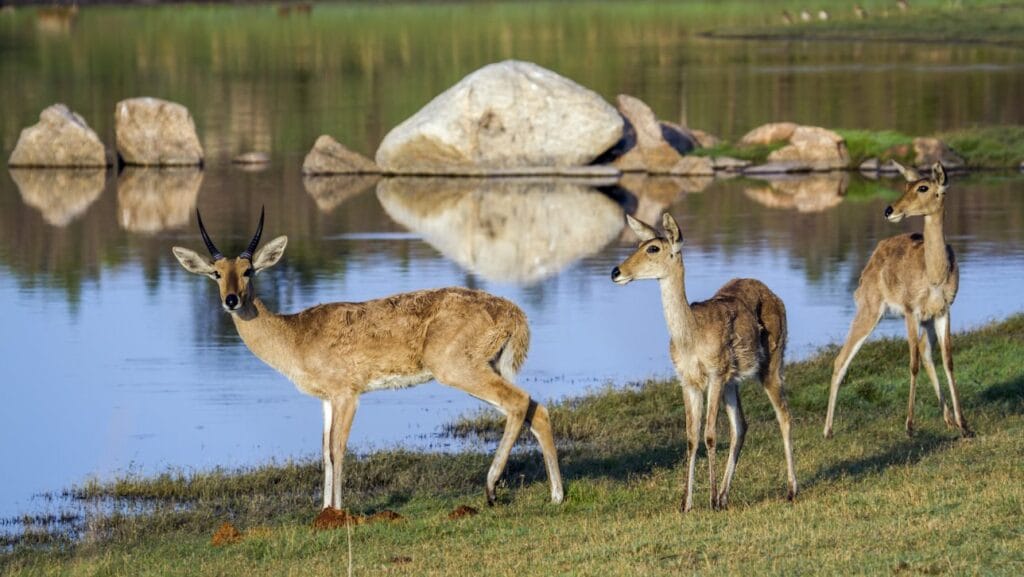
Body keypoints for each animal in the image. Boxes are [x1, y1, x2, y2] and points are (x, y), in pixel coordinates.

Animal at [172, 208, 565, 510]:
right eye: (217, 273)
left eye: (249, 270)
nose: (232, 300)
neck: (296, 334)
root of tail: (513, 312)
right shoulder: (327, 400)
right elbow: (323, 451)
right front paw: (323, 510)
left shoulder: (348, 394)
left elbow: (337, 449)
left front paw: (337, 511)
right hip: (491, 367)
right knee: (537, 409)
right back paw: (556, 496)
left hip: (459, 370)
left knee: (519, 403)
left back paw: (491, 489)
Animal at [610, 214, 794, 512]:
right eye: (639, 243)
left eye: (653, 248)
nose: (616, 271)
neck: (691, 337)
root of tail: (776, 296)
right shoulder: (687, 380)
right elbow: (690, 437)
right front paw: (686, 503)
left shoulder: (715, 373)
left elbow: (709, 434)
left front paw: (708, 500)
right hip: (733, 380)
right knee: (741, 426)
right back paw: (725, 496)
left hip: (772, 361)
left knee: (784, 415)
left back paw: (790, 490)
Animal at [819, 161, 970, 438]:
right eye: (907, 184)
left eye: (923, 187)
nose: (889, 210)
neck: (935, 274)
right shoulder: (911, 311)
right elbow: (912, 363)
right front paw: (909, 426)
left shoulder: (943, 311)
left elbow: (948, 361)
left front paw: (964, 425)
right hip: (870, 310)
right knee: (841, 359)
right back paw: (828, 430)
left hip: (922, 320)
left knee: (925, 351)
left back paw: (949, 420)